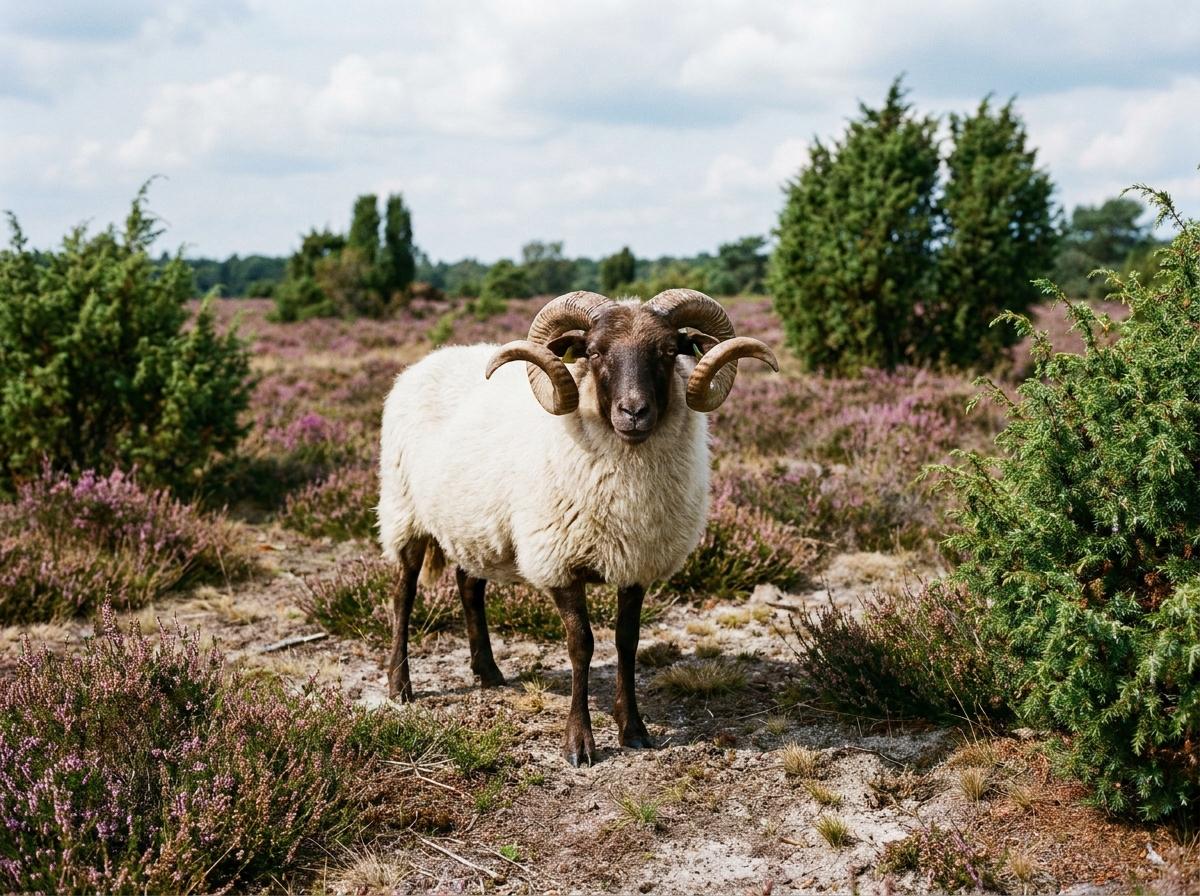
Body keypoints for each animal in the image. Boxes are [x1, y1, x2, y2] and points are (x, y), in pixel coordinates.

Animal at [377, 288, 777, 765]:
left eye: (668, 351)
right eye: (594, 352)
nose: (634, 412)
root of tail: (428, 360)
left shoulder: (637, 562)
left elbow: (627, 641)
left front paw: (633, 729)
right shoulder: (558, 560)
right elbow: (581, 644)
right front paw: (579, 743)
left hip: (474, 525)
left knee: (469, 585)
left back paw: (488, 671)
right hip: (405, 514)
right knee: (403, 595)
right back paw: (400, 686)